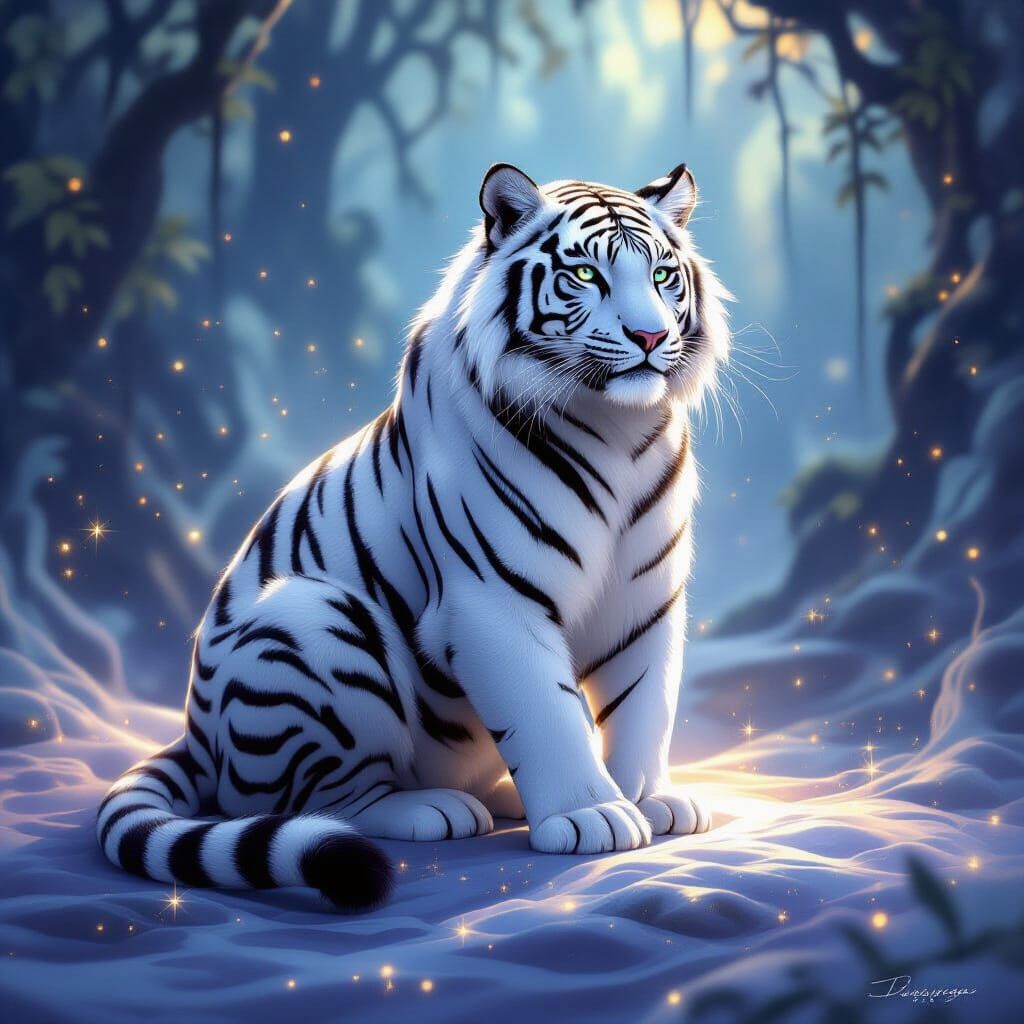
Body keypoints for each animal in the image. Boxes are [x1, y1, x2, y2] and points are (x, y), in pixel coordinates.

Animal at [97, 162, 729, 910]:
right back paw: (432, 809)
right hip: (310, 619)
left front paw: (648, 798)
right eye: (585, 275)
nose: (651, 338)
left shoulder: (647, 598)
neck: (618, 427)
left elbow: (644, 703)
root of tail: (194, 735)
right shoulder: (493, 600)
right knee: (321, 800)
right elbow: (545, 710)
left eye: (662, 276)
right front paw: (591, 813)